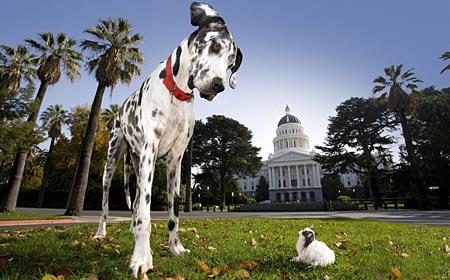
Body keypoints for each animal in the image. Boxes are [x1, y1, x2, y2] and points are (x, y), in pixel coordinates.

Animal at [93, 1, 243, 278]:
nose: (218, 85)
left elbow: (173, 210)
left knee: (137, 199)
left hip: (138, 165)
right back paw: (101, 232)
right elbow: (145, 214)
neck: (177, 94)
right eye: (215, 46)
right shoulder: (151, 151)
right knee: (108, 201)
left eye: (230, 64)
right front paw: (142, 258)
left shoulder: (176, 160)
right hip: (112, 162)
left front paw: (175, 248)